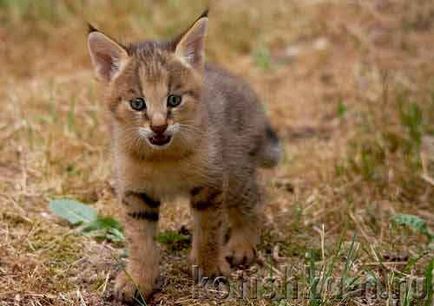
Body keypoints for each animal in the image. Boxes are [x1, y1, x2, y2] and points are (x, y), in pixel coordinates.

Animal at [87, 10, 282, 304]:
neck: (163, 157)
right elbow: (139, 241)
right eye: (137, 104)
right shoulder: (135, 192)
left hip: (236, 169)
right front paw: (138, 280)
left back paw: (241, 244)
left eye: (174, 100)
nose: (158, 126)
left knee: (255, 197)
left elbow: (209, 230)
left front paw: (210, 268)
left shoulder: (210, 182)